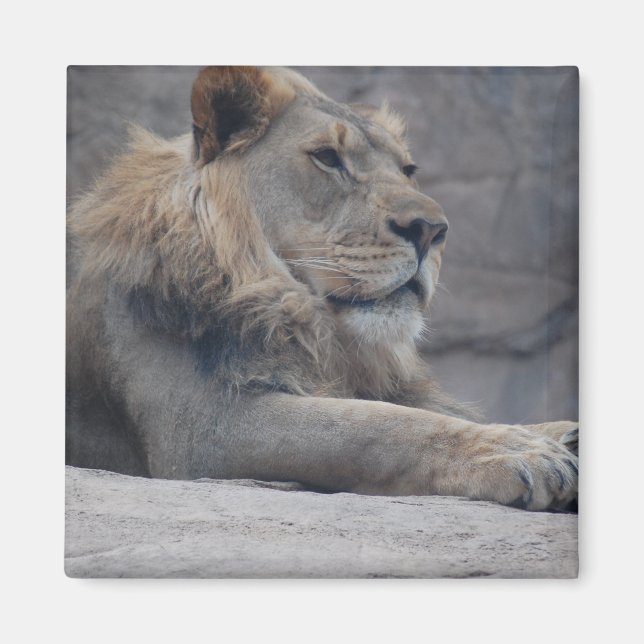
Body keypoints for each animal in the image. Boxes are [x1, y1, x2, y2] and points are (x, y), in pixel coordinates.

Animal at [66, 66, 578, 511]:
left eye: (408, 169)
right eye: (328, 158)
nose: (432, 230)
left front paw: (560, 433)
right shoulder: (200, 427)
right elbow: (372, 424)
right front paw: (517, 451)